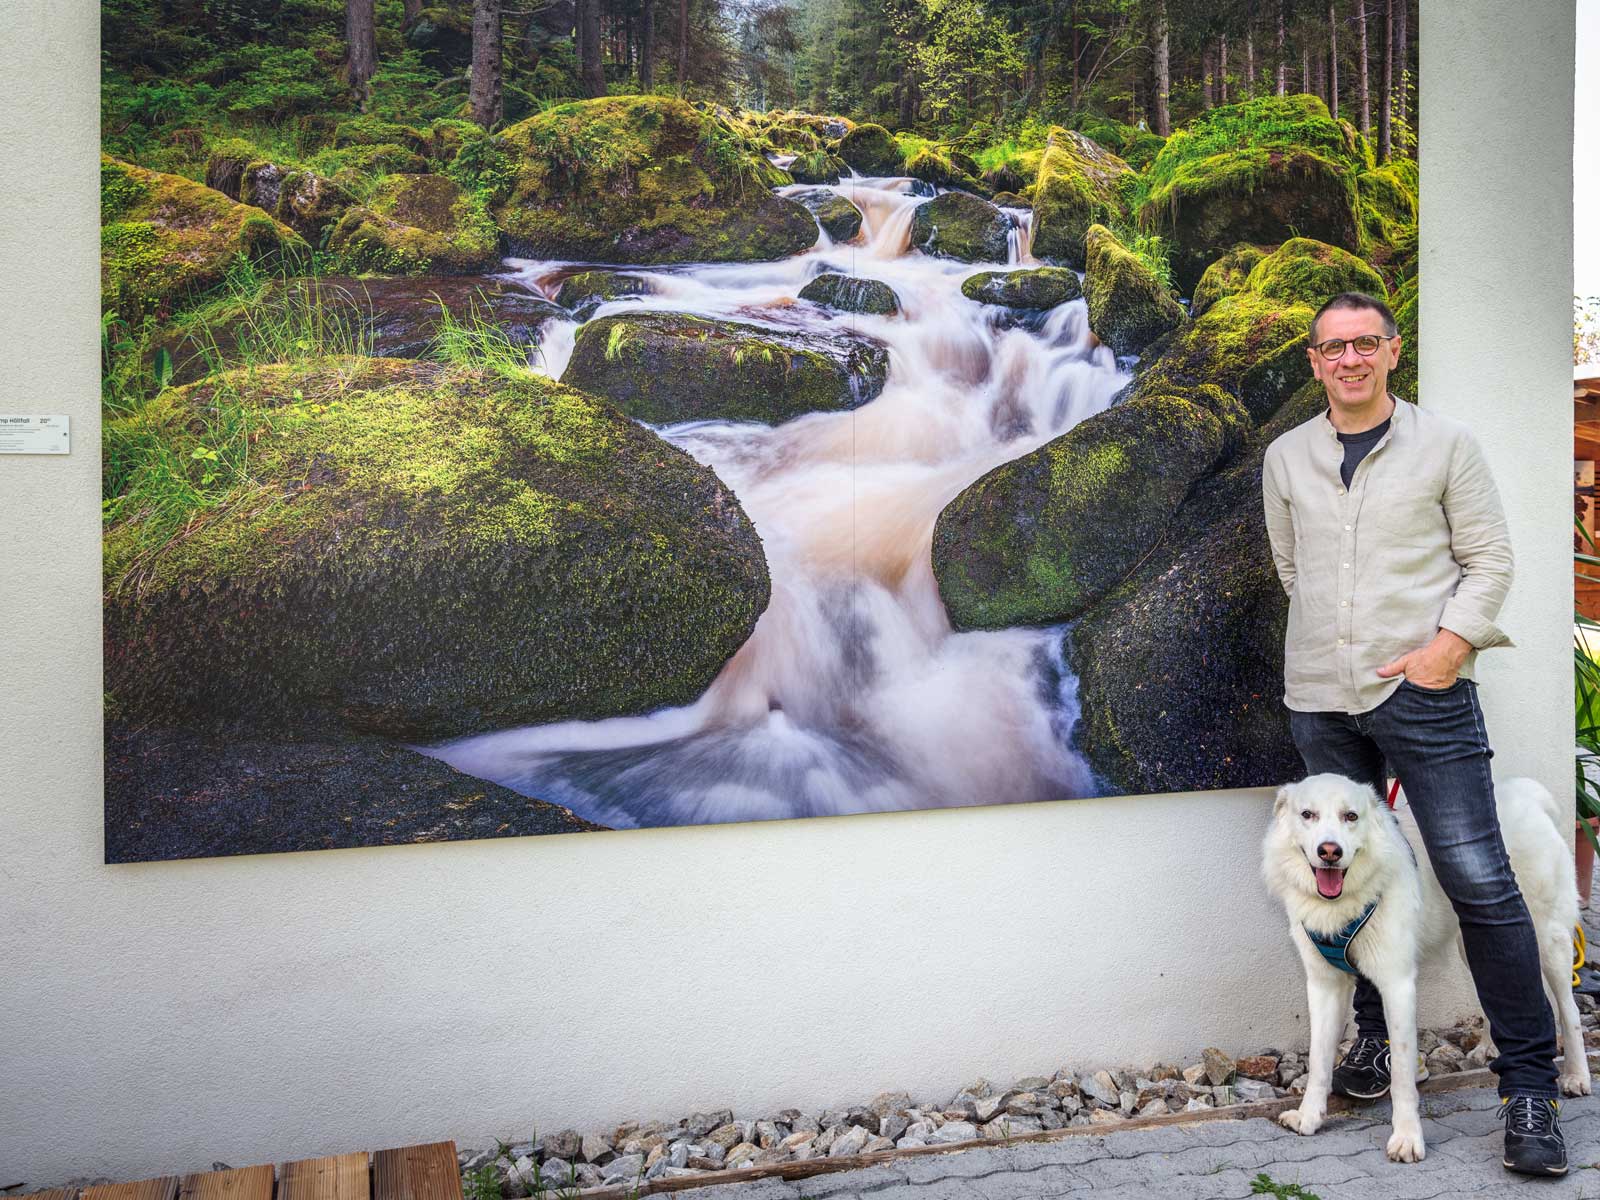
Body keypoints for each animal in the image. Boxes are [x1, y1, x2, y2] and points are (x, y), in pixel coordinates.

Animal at [1260, 771, 1587, 1164]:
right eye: (1307, 814)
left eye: (1350, 816)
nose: (1329, 851)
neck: (1347, 901)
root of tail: (1527, 793)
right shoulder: (1324, 985)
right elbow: (1319, 1061)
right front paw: (1310, 1117)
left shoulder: (1398, 985)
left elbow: (1402, 1075)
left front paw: (1406, 1137)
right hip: (1471, 942)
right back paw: (1487, 1050)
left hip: (1547, 938)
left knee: (1569, 1009)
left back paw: (1576, 1077)